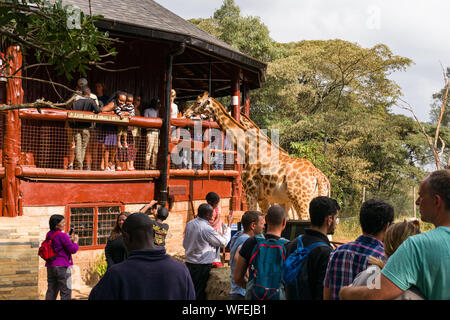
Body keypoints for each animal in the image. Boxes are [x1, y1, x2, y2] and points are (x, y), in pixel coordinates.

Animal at [185, 92, 328, 220]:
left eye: (198, 102)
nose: (186, 113)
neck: (249, 148)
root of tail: (317, 176)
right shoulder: (265, 197)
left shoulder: (251, 192)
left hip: (301, 199)